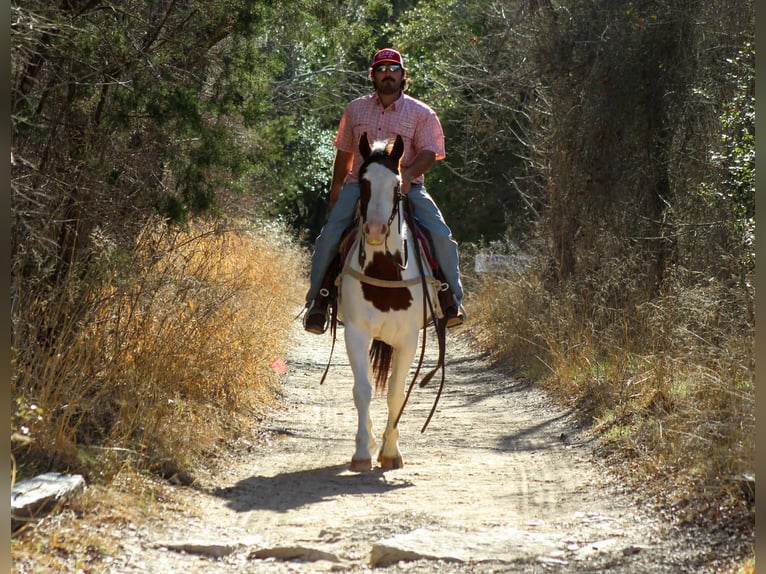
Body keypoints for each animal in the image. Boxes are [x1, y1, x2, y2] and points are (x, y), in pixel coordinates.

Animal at [336, 133, 445, 472]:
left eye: (397, 185)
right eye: (363, 182)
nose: (374, 230)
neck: (384, 270)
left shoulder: (408, 339)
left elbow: (397, 393)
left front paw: (391, 452)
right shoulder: (356, 333)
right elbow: (363, 390)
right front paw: (362, 452)